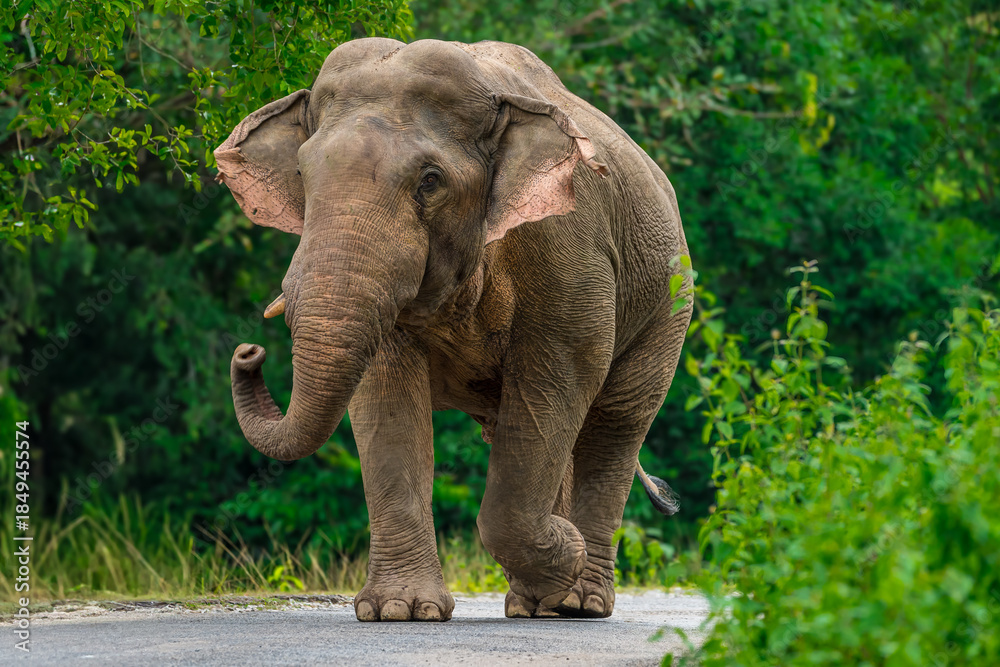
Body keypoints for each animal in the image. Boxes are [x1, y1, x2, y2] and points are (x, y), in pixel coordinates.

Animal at [216, 38, 692, 622]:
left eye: (430, 181)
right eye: (303, 176)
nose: (248, 352)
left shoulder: (565, 247)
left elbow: (559, 375)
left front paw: (567, 552)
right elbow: (386, 396)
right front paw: (398, 612)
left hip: (669, 303)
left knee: (616, 422)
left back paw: (578, 601)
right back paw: (540, 602)